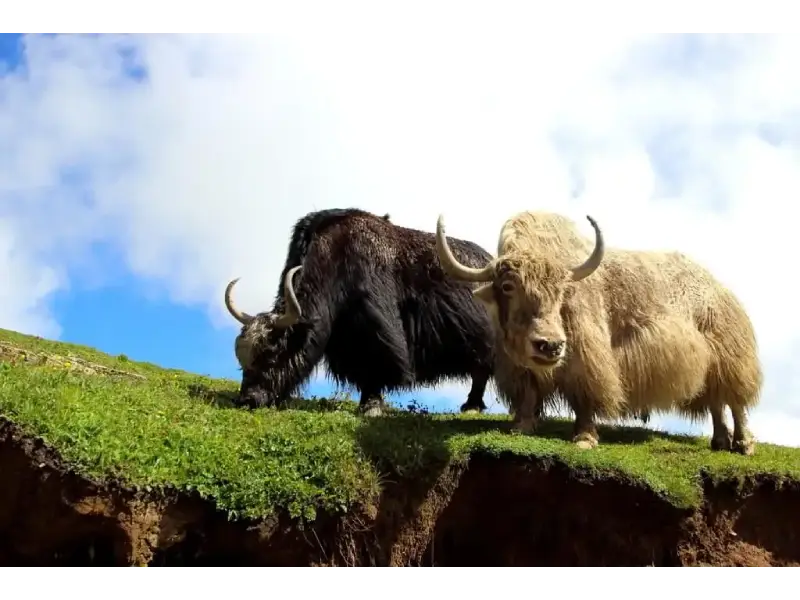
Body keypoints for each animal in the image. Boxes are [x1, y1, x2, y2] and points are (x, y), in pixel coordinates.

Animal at [223, 208, 497, 417]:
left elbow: (375, 362)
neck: (334, 256)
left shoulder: (374, 322)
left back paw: (471, 406)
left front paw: (371, 406)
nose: (248, 400)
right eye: (242, 363)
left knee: (481, 371)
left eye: (273, 353)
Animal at [433, 210, 762, 455]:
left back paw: (744, 444)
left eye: (562, 291)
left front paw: (584, 438)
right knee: (716, 400)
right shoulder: (518, 364)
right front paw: (521, 427)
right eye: (507, 287)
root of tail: (722, 289)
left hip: (730, 354)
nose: (550, 346)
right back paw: (719, 442)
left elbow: (587, 392)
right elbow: (529, 391)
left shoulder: (587, 353)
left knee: (735, 401)